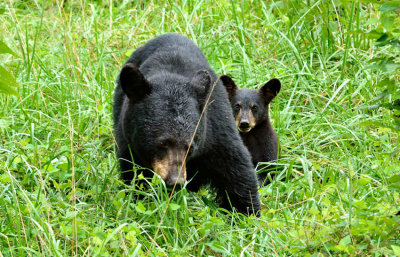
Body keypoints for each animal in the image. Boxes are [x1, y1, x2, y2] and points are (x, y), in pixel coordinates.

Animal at [113, 33, 260, 215]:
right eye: (162, 143)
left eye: (190, 147)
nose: (176, 181)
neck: (172, 77)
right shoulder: (128, 141)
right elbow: (135, 175)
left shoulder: (214, 125)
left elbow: (236, 167)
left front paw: (245, 212)